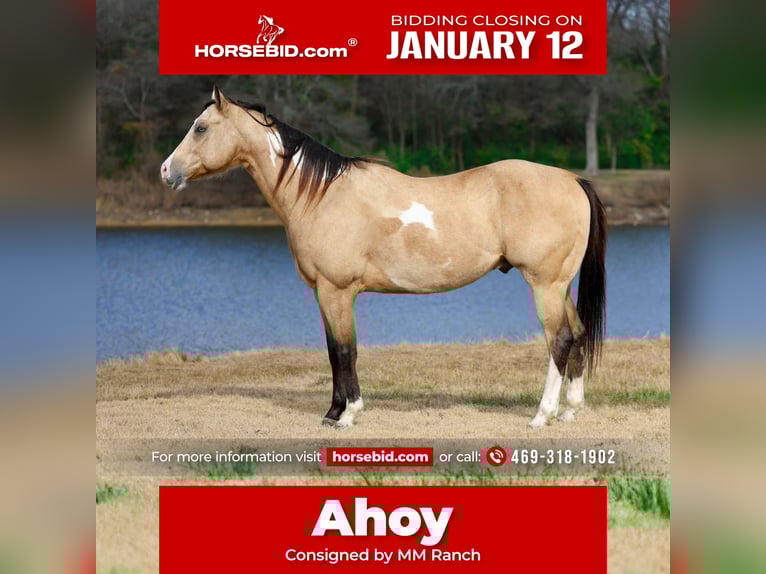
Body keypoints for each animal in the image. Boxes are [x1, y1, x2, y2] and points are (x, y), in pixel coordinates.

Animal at [160, 86, 607, 429]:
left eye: (201, 127)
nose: (166, 170)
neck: (322, 195)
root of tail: (572, 179)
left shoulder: (337, 291)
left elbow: (345, 349)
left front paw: (347, 414)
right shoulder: (324, 293)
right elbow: (331, 350)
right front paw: (331, 413)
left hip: (545, 284)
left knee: (559, 340)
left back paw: (542, 415)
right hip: (561, 285)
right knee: (577, 332)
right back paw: (570, 411)